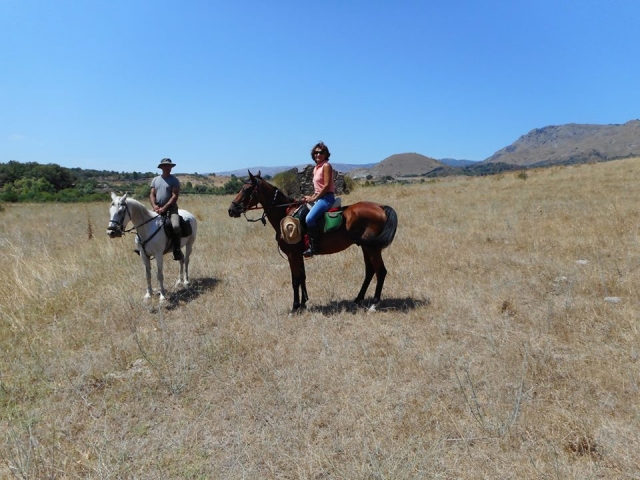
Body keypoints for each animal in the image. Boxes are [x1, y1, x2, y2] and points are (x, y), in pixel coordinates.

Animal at [228, 171, 398, 313]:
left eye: (246, 190)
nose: (231, 209)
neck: (285, 214)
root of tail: (380, 207)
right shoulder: (298, 254)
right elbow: (302, 277)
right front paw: (303, 303)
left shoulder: (292, 254)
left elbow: (295, 279)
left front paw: (295, 307)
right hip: (365, 246)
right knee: (370, 271)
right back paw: (357, 300)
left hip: (372, 248)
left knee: (381, 271)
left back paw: (374, 304)